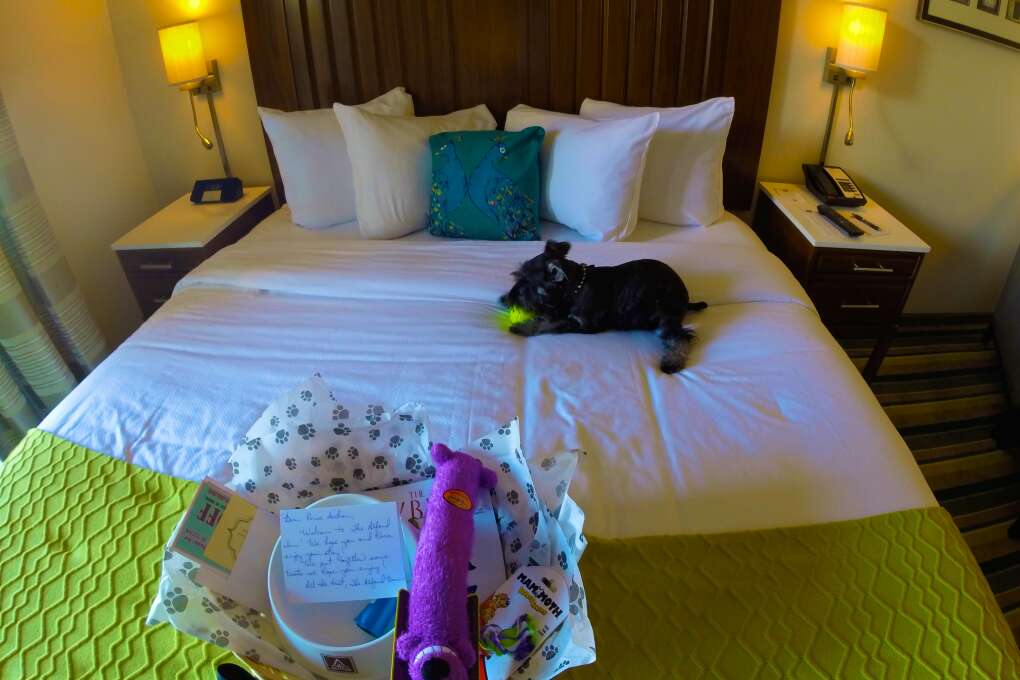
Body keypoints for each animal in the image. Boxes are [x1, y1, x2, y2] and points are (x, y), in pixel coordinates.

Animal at [497, 241, 705, 375]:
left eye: (527, 285)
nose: (509, 298)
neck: (576, 286)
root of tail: (684, 293)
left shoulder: (583, 325)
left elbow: (546, 321)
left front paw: (522, 326)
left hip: (665, 315)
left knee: (680, 338)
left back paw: (672, 362)